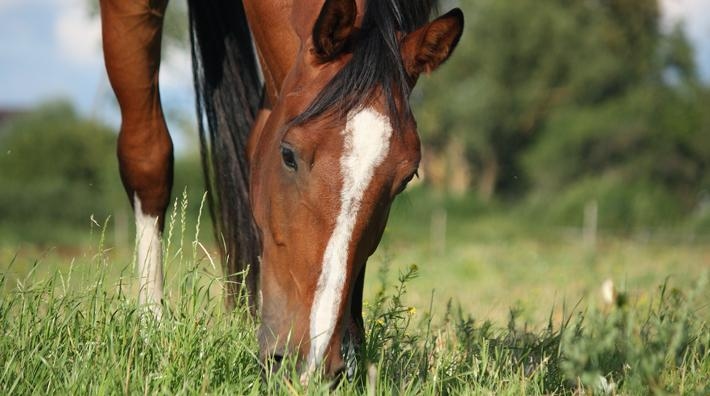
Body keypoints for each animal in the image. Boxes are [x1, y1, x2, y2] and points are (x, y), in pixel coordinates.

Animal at [101, 0, 468, 378]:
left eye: (406, 178)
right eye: (288, 154)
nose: (310, 363)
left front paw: (353, 353)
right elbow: (148, 159)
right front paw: (150, 327)